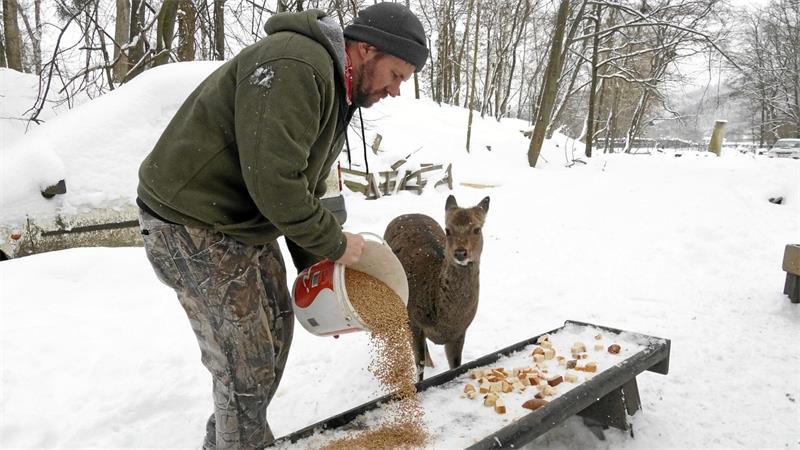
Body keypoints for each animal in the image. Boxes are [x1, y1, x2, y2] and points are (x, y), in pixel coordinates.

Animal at [384, 194, 490, 381]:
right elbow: (419, 366)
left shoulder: (460, 332)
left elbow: (456, 365)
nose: (460, 253)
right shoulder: (414, 321)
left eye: (477, 229)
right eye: (448, 230)